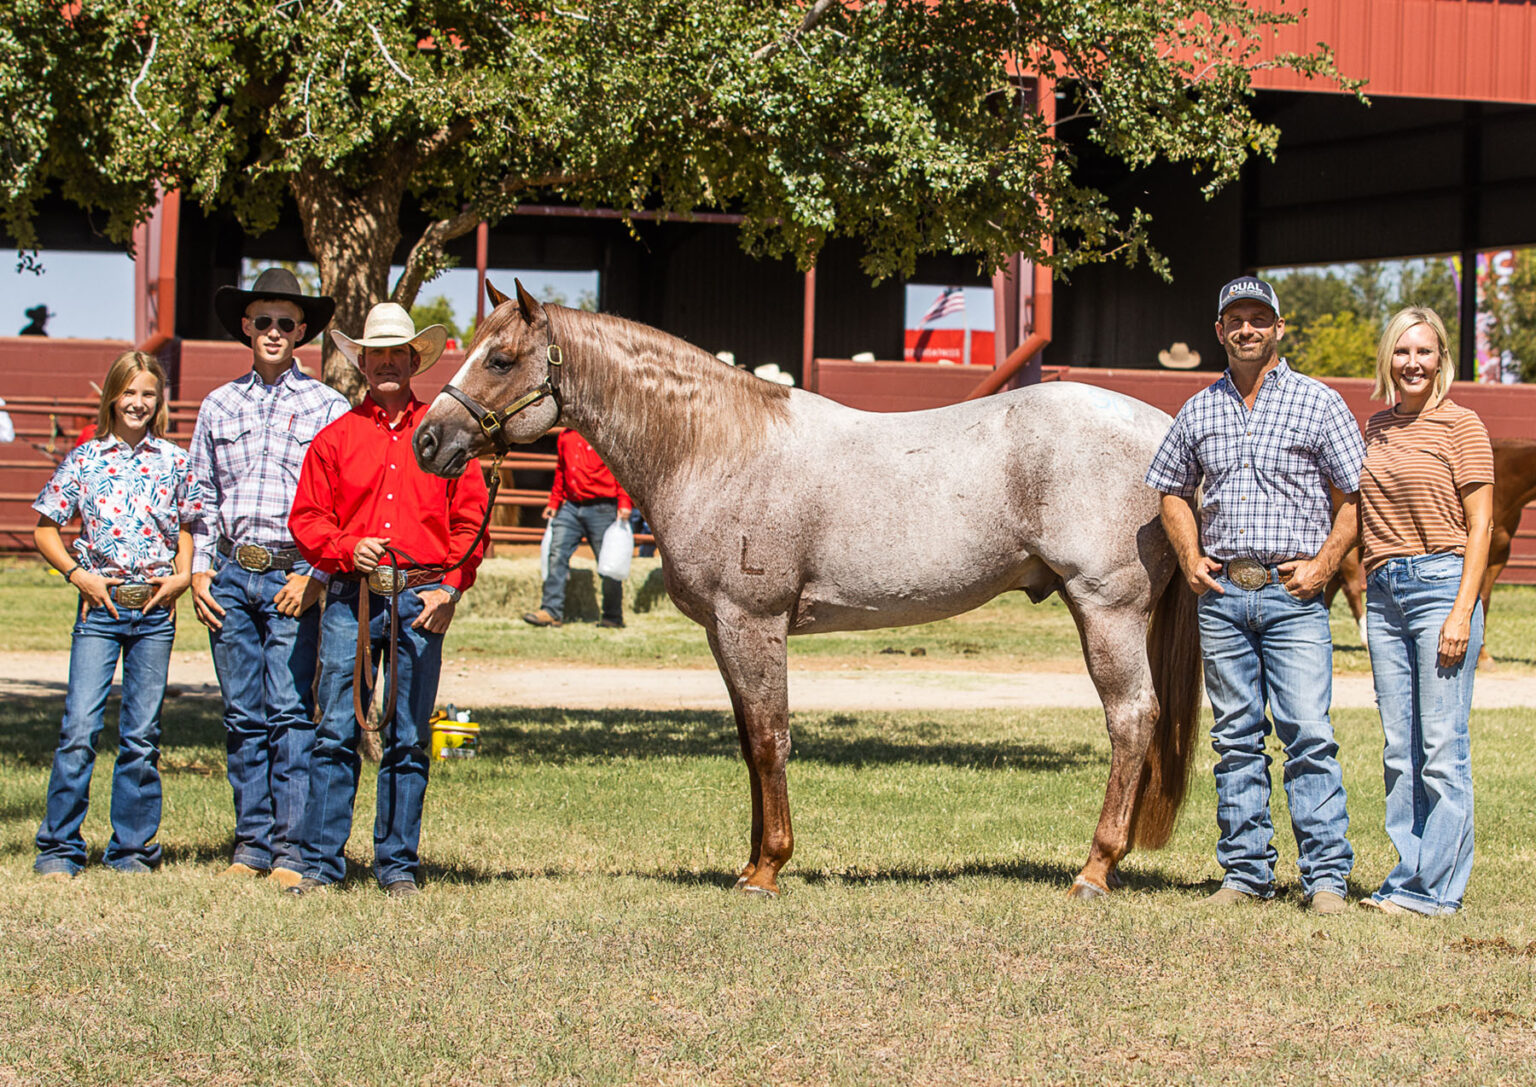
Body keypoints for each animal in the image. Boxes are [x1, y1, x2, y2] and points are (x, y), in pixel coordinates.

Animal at [417, 282, 1198, 902]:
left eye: (499, 358)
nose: (428, 441)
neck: (717, 448)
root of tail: (1164, 430)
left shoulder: (752, 622)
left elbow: (770, 739)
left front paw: (767, 870)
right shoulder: (723, 631)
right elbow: (747, 740)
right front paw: (750, 860)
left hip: (1106, 609)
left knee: (1131, 717)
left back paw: (1094, 869)